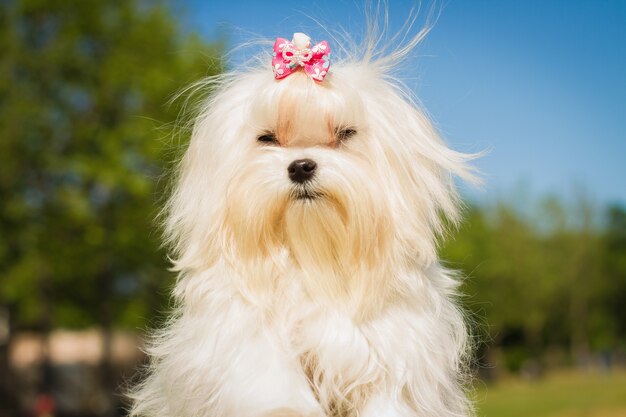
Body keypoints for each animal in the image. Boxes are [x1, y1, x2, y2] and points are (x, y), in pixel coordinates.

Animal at [130, 27, 472, 414]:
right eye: (267, 138)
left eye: (345, 133)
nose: (301, 166)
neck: (314, 259)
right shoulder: (245, 341)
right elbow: (273, 384)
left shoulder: (397, 347)